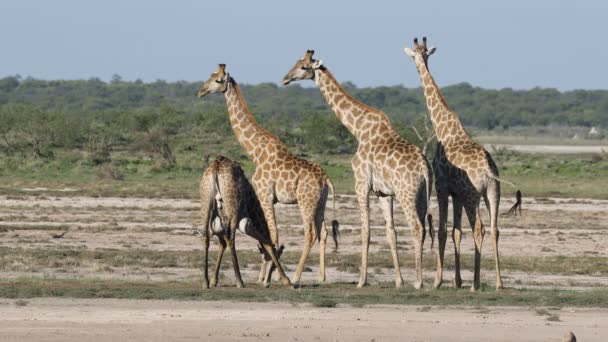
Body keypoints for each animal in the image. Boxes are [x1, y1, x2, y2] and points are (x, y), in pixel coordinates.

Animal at [198, 64, 338, 286]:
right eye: (210, 76)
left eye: (218, 80)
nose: (202, 91)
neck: (255, 151)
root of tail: (326, 179)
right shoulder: (268, 199)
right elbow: (269, 237)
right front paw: (266, 277)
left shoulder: (265, 196)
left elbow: (272, 235)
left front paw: (269, 278)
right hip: (320, 203)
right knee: (323, 232)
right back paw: (321, 277)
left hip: (305, 202)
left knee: (309, 234)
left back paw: (295, 277)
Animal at [284, 49, 432, 288]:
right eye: (296, 63)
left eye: (304, 67)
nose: (285, 78)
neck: (358, 130)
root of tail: (424, 168)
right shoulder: (383, 193)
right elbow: (391, 233)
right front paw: (398, 280)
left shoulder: (361, 184)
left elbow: (366, 231)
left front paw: (362, 280)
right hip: (422, 194)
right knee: (425, 227)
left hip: (407, 193)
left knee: (417, 227)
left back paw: (418, 282)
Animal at [406, 36, 520, 290]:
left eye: (419, 54)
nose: (418, 66)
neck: (443, 127)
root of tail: (488, 170)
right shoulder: (456, 194)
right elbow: (456, 232)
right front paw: (457, 280)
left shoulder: (442, 188)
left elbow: (442, 230)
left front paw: (438, 280)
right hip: (493, 193)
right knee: (495, 229)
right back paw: (498, 282)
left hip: (472, 196)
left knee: (479, 229)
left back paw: (476, 283)